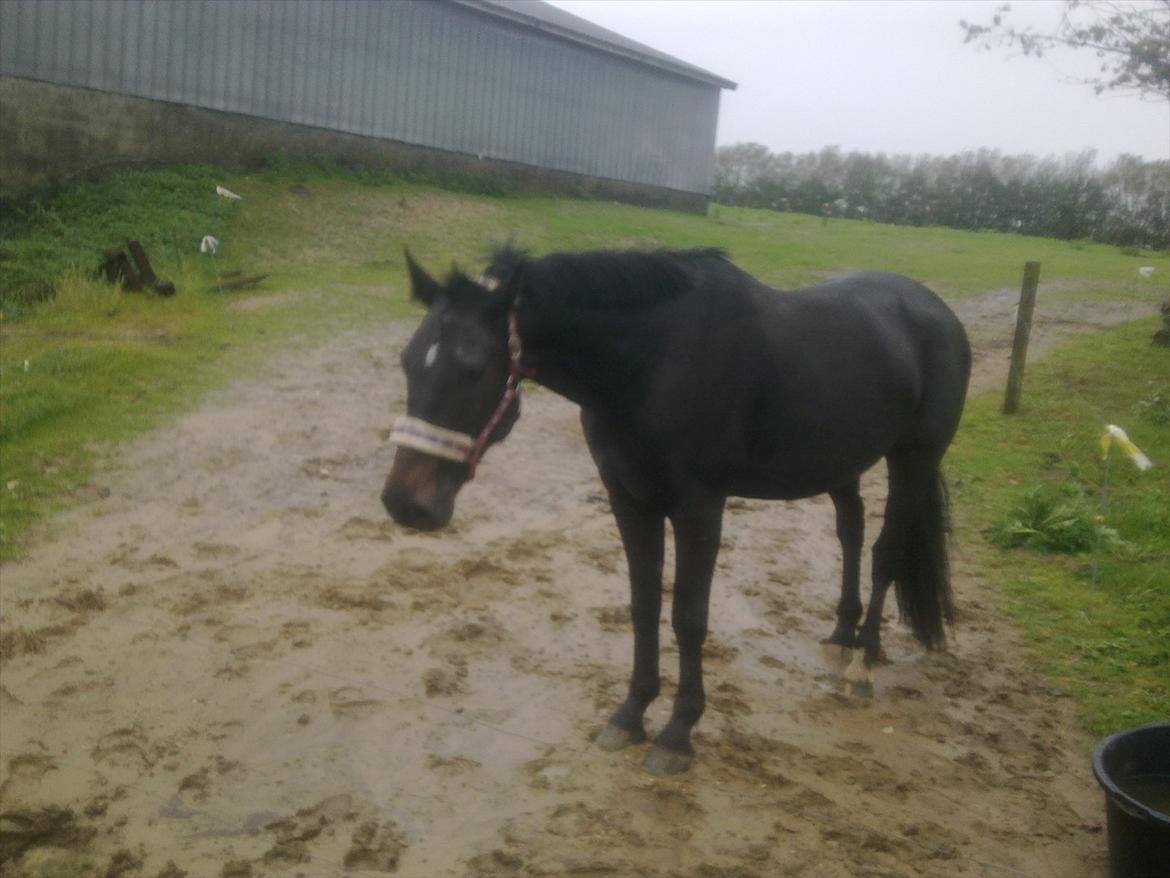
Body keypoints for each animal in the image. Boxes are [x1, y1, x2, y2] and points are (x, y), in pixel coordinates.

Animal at [382, 244, 971, 776]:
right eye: (408, 362)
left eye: (473, 368)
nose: (405, 503)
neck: (652, 361)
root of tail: (936, 311)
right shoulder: (629, 501)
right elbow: (644, 606)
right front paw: (630, 714)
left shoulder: (698, 509)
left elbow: (688, 617)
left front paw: (677, 733)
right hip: (840, 462)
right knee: (851, 529)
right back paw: (842, 634)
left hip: (914, 459)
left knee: (886, 552)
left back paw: (863, 664)